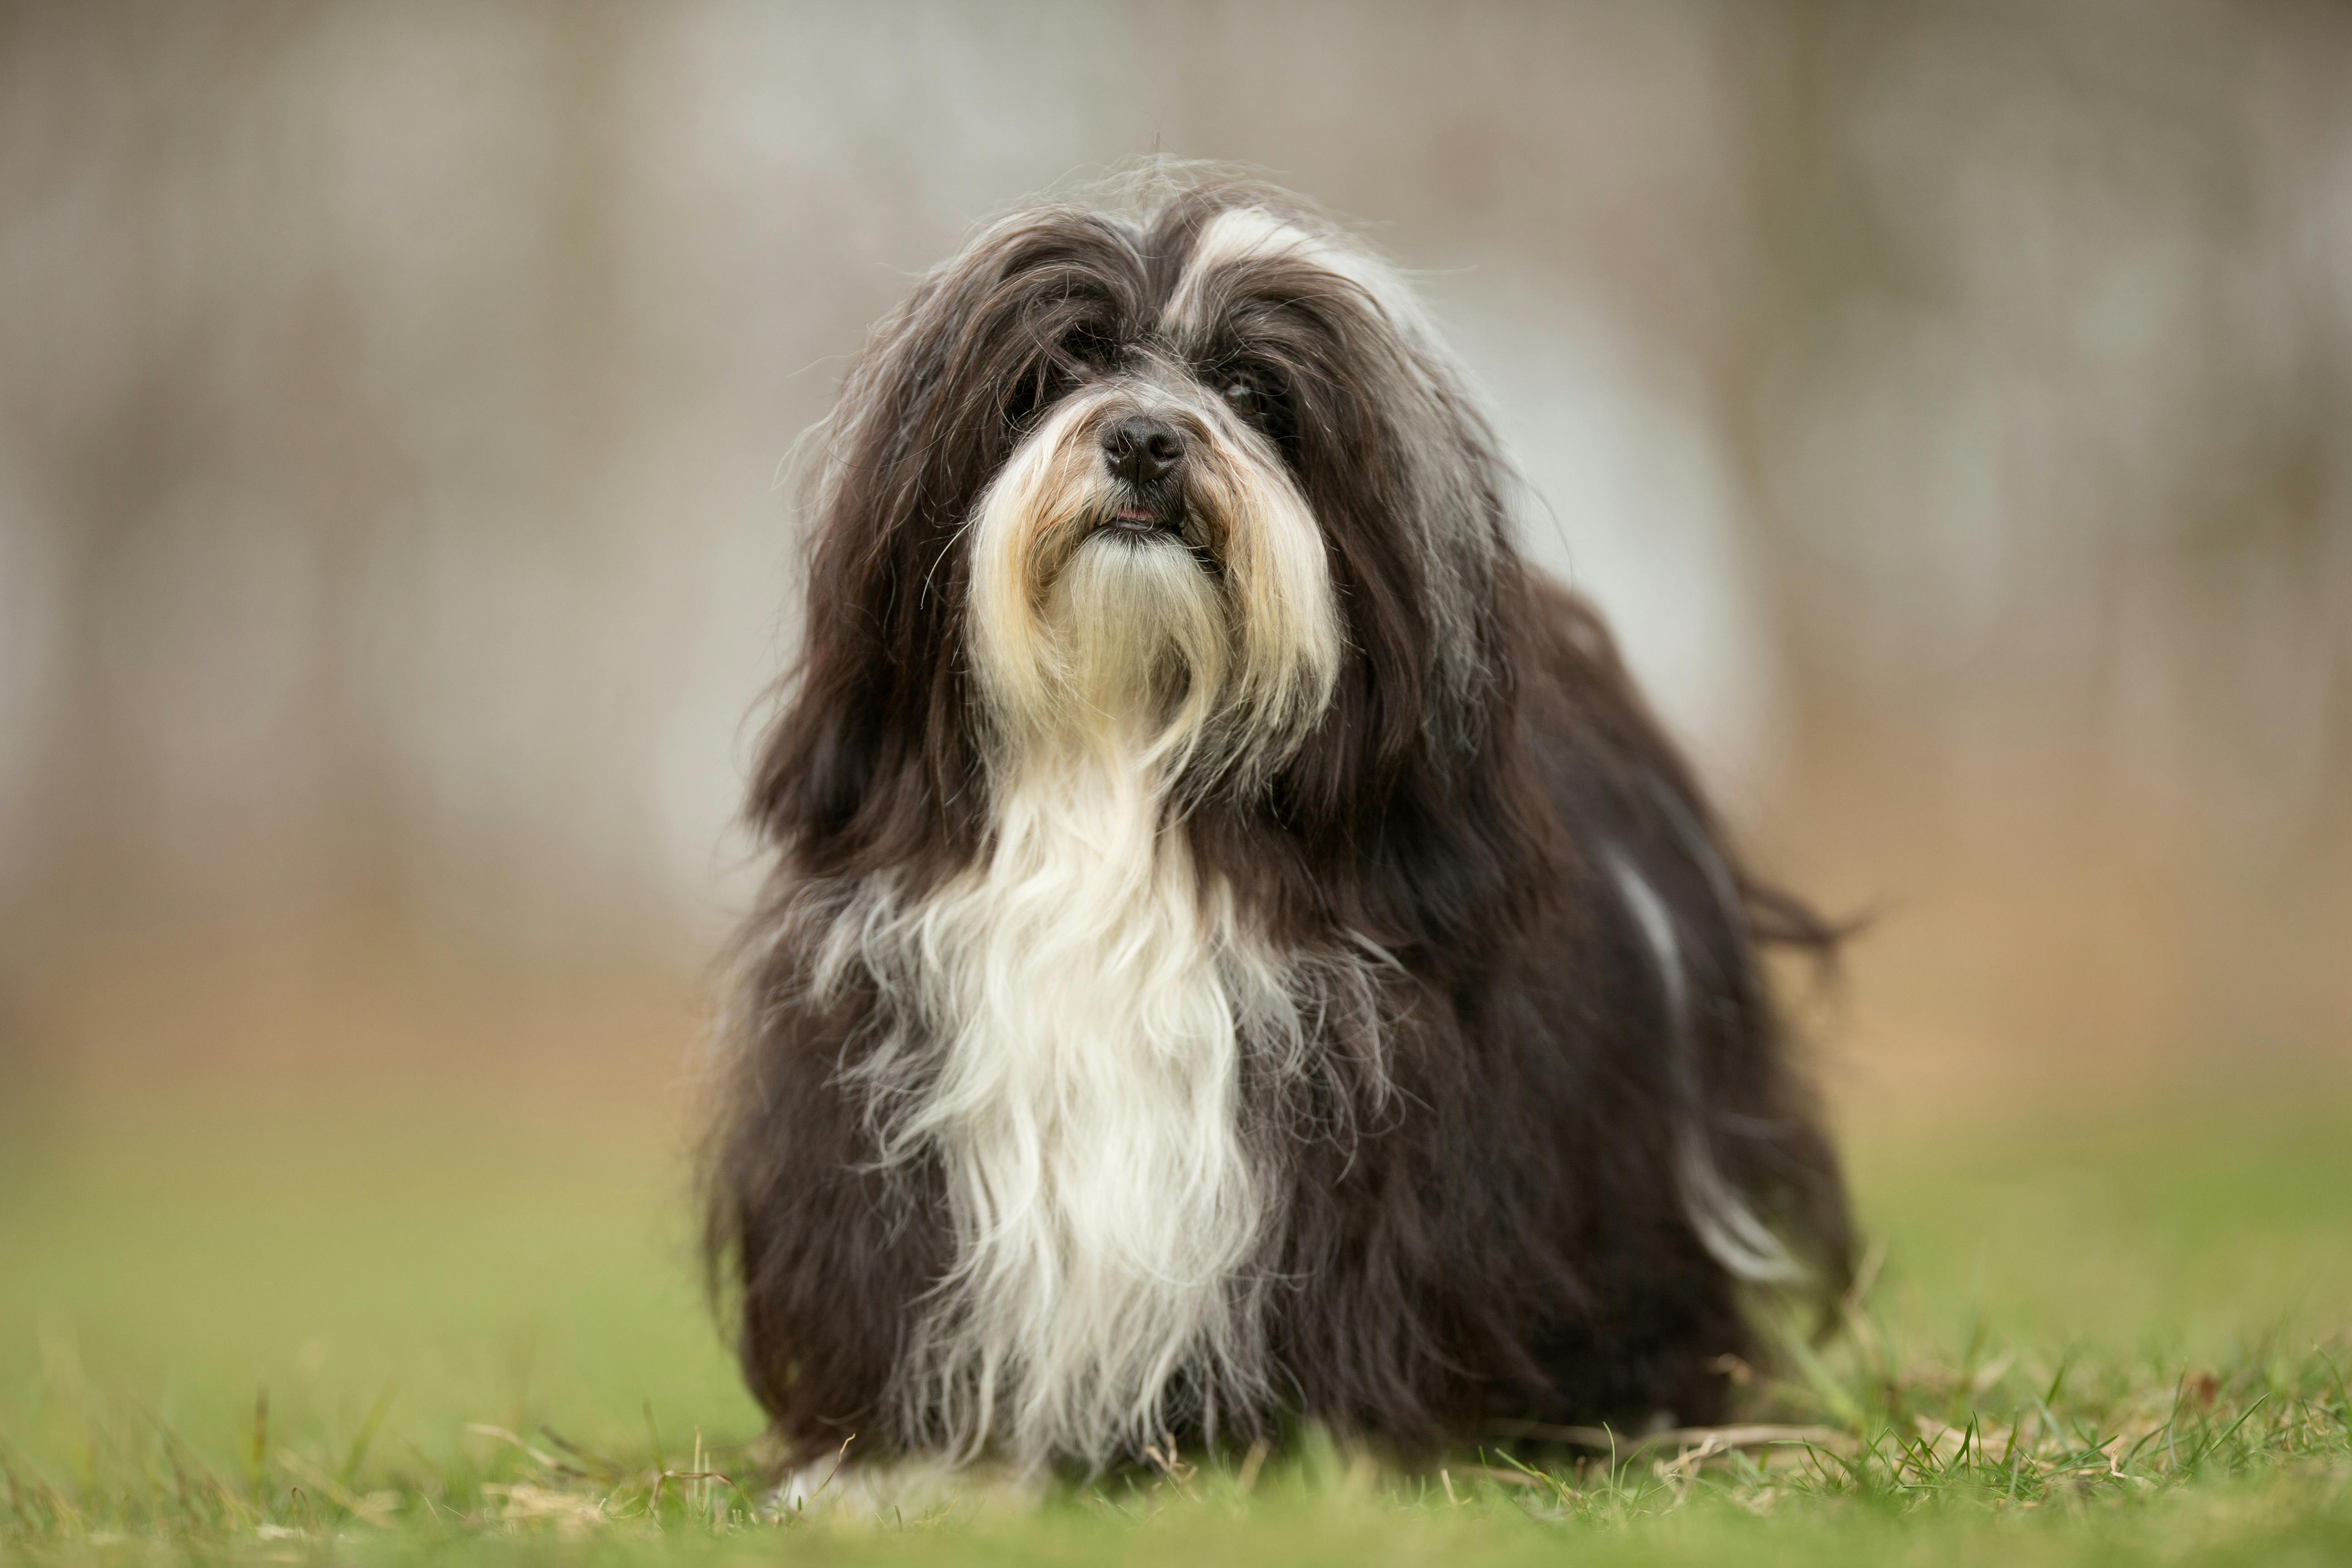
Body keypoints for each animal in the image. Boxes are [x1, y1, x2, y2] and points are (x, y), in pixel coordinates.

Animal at [701, 175, 1853, 1495]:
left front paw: (1326, 1452)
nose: (1146, 439)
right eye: (1052, 371)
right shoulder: (886, 1097)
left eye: (1256, 395)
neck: (1126, 768)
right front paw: (902, 1467)